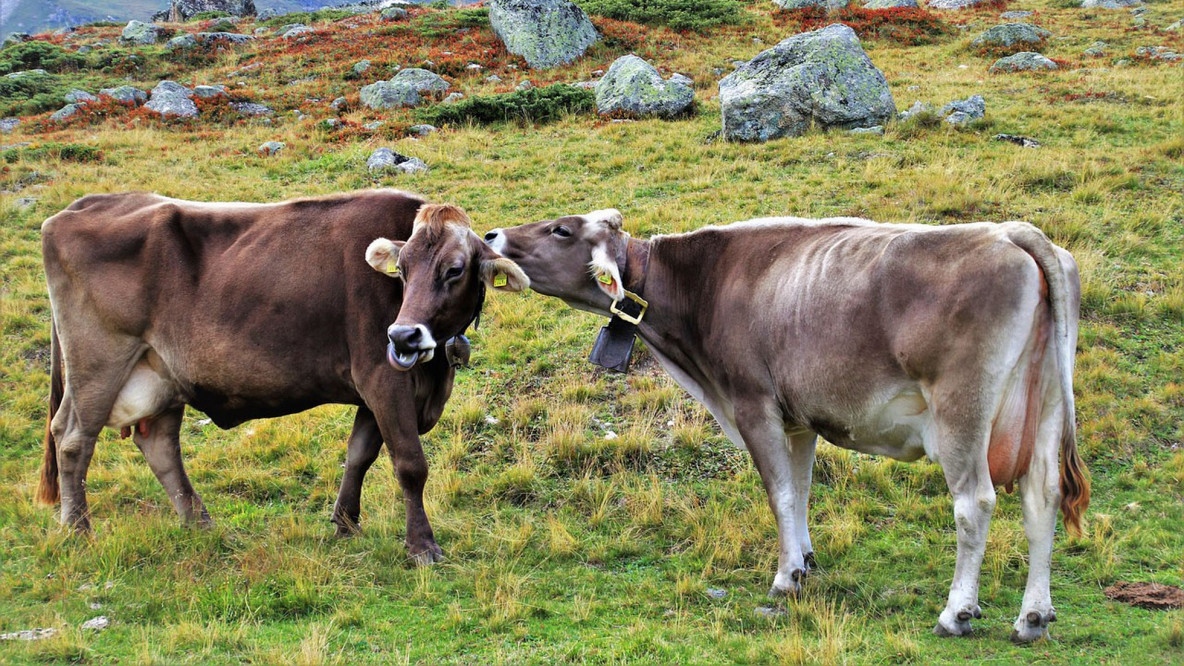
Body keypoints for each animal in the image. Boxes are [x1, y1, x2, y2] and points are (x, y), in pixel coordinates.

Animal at [38, 189, 528, 561]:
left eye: (454, 270)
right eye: (402, 270)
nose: (403, 336)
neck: (433, 375)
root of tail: (84, 205)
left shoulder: (373, 389)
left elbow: (359, 454)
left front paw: (344, 523)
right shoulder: (382, 377)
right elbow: (409, 464)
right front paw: (422, 546)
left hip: (160, 375)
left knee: (158, 444)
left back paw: (200, 523)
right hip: (98, 362)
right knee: (73, 439)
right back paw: (78, 530)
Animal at [487, 210, 1089, 639]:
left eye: (560, 229)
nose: (490, 235)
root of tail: (1009, 232)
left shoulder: (753, 403)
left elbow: (777, 492)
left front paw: (784, 578)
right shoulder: (799, 418)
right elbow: (799, 490)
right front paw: (804, 560)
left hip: (962, 411)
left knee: (975, 504)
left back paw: (957, 611)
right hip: (1046, 405)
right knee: (1042, 498)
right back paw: (1033, 617)